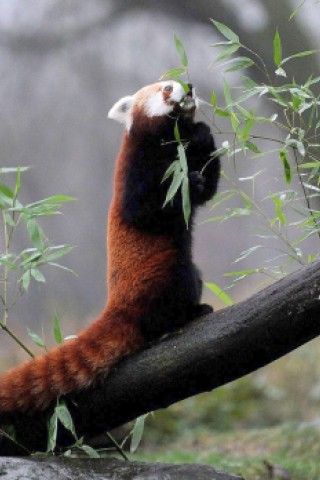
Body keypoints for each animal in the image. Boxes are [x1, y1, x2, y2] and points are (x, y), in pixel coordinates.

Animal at [0, 80, 220, 414]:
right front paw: (189, 184)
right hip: (160, 270)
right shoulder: (137, 169)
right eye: (167, 88)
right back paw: (185, 315)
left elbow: (209, 187)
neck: (170, 142)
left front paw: (203, 134)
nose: (190, 87)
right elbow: (146, 210)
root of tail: (117, 305)